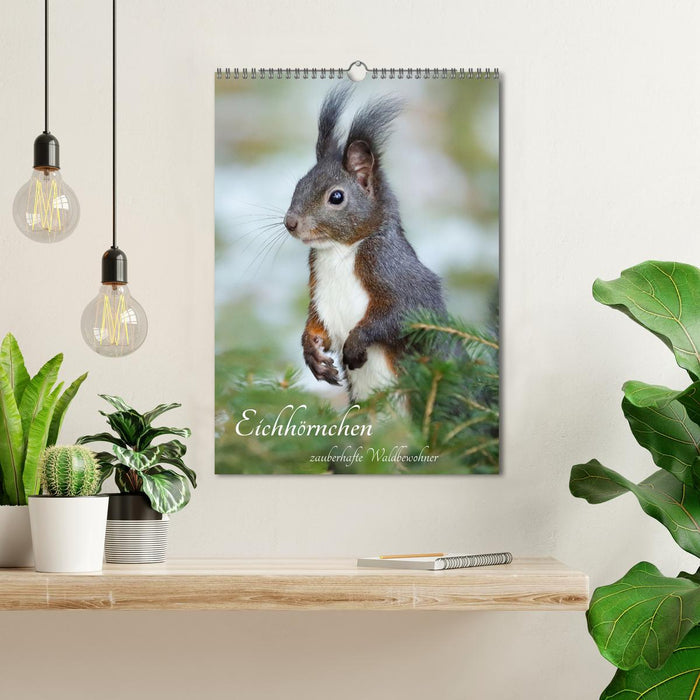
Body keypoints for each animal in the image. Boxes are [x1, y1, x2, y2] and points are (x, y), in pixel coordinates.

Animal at [284, 85, 446, 402]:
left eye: (336, 197)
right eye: (299, 185)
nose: (290, 222)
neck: (339, 250)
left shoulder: (394, 268)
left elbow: (404, 312)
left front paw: (357, 343)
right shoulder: (319, 290)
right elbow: (315, 325)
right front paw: (312, 352)